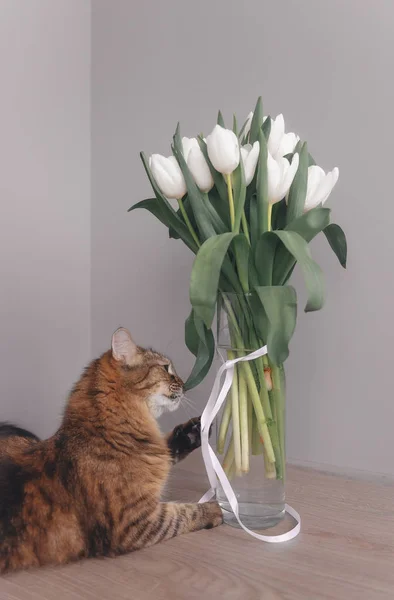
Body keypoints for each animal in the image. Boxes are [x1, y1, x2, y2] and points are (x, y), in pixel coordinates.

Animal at [0, 326, 222, 576]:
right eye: (165, 368)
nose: (184, 383)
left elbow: (169, 448)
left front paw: (196, 429)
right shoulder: (136, 522)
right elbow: (181, 513)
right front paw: (217, 509)